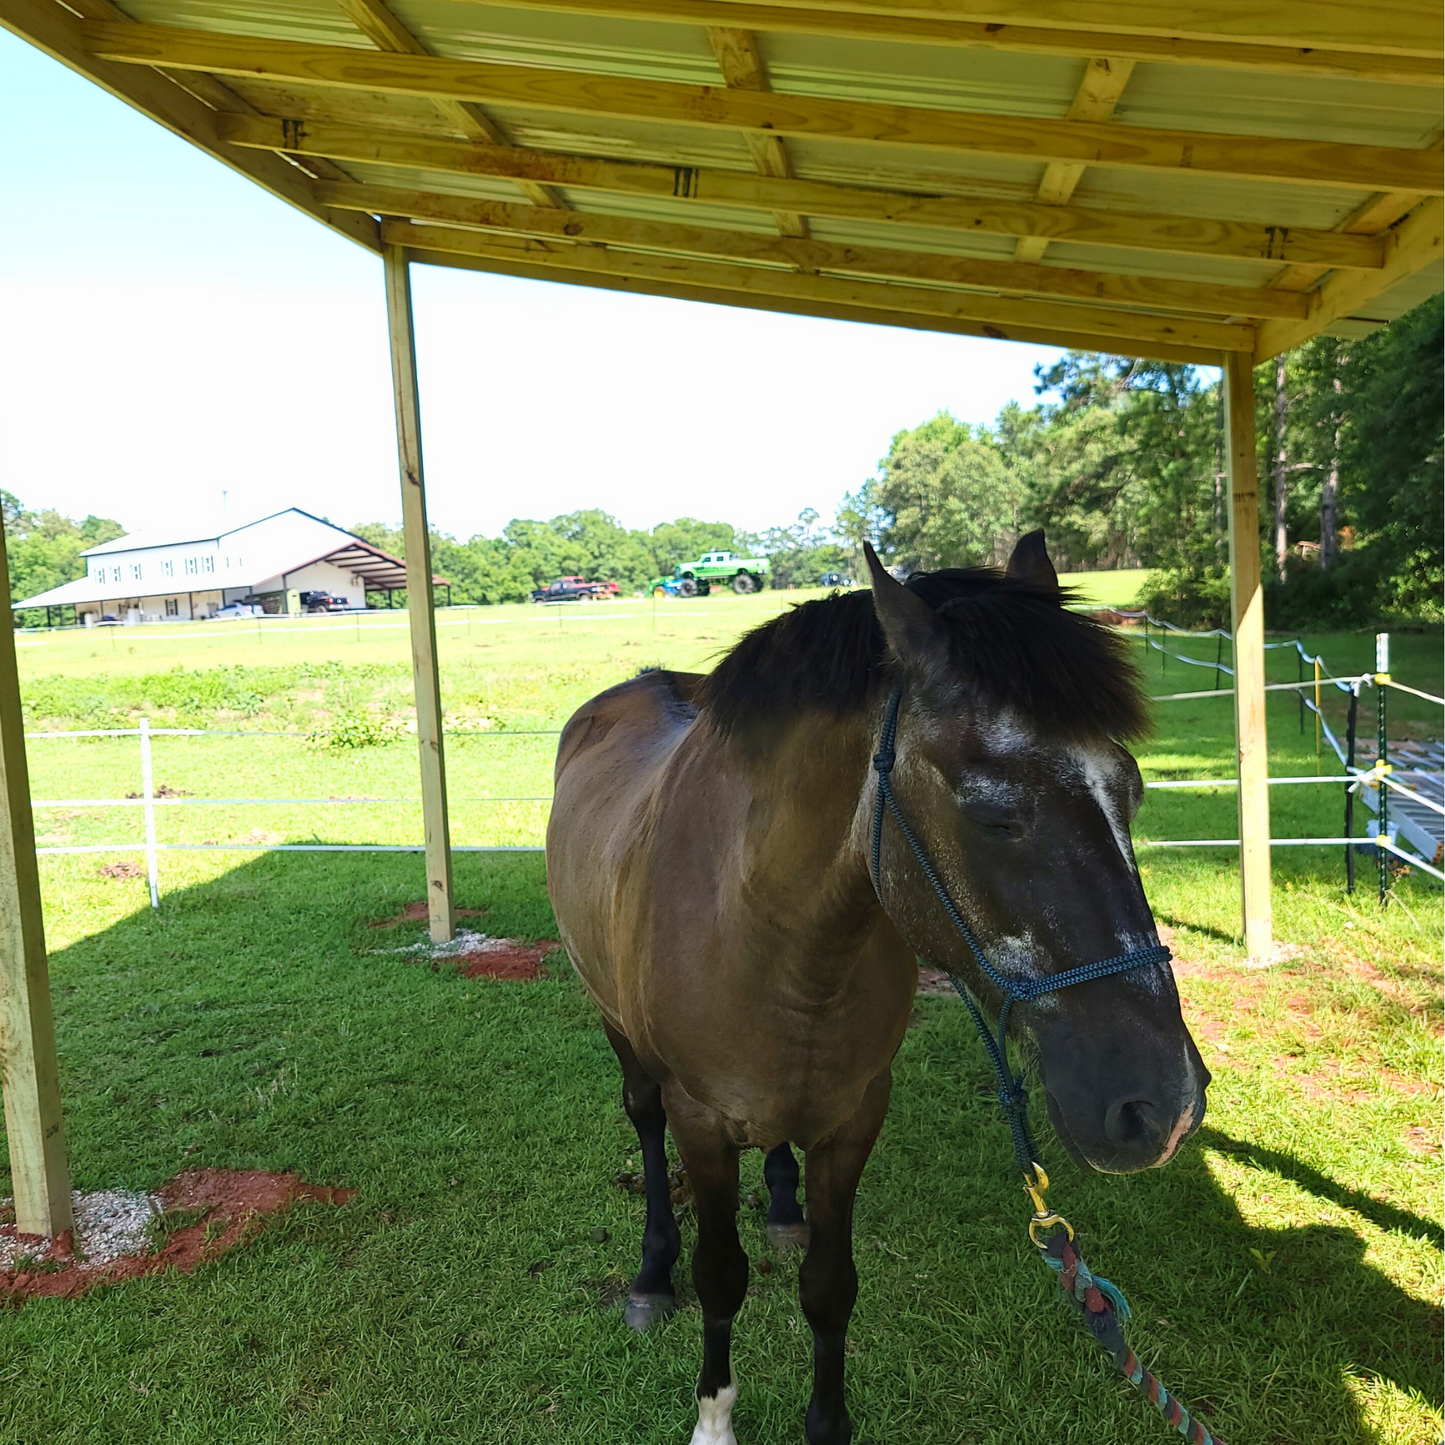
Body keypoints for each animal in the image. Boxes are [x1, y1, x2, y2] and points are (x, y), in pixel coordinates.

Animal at [546, 533, 1207, 1445]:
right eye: (992, 813)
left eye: (1132, 789)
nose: (1164, 1106)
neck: (772, 937)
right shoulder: (701, 1122)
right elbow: (721, 1275)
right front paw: (713, 1416)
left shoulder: (854, 1115)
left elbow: (830, 1286)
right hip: (619, 1030)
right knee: (642, 1125)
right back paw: (650, 1276)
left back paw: (781, 1207)